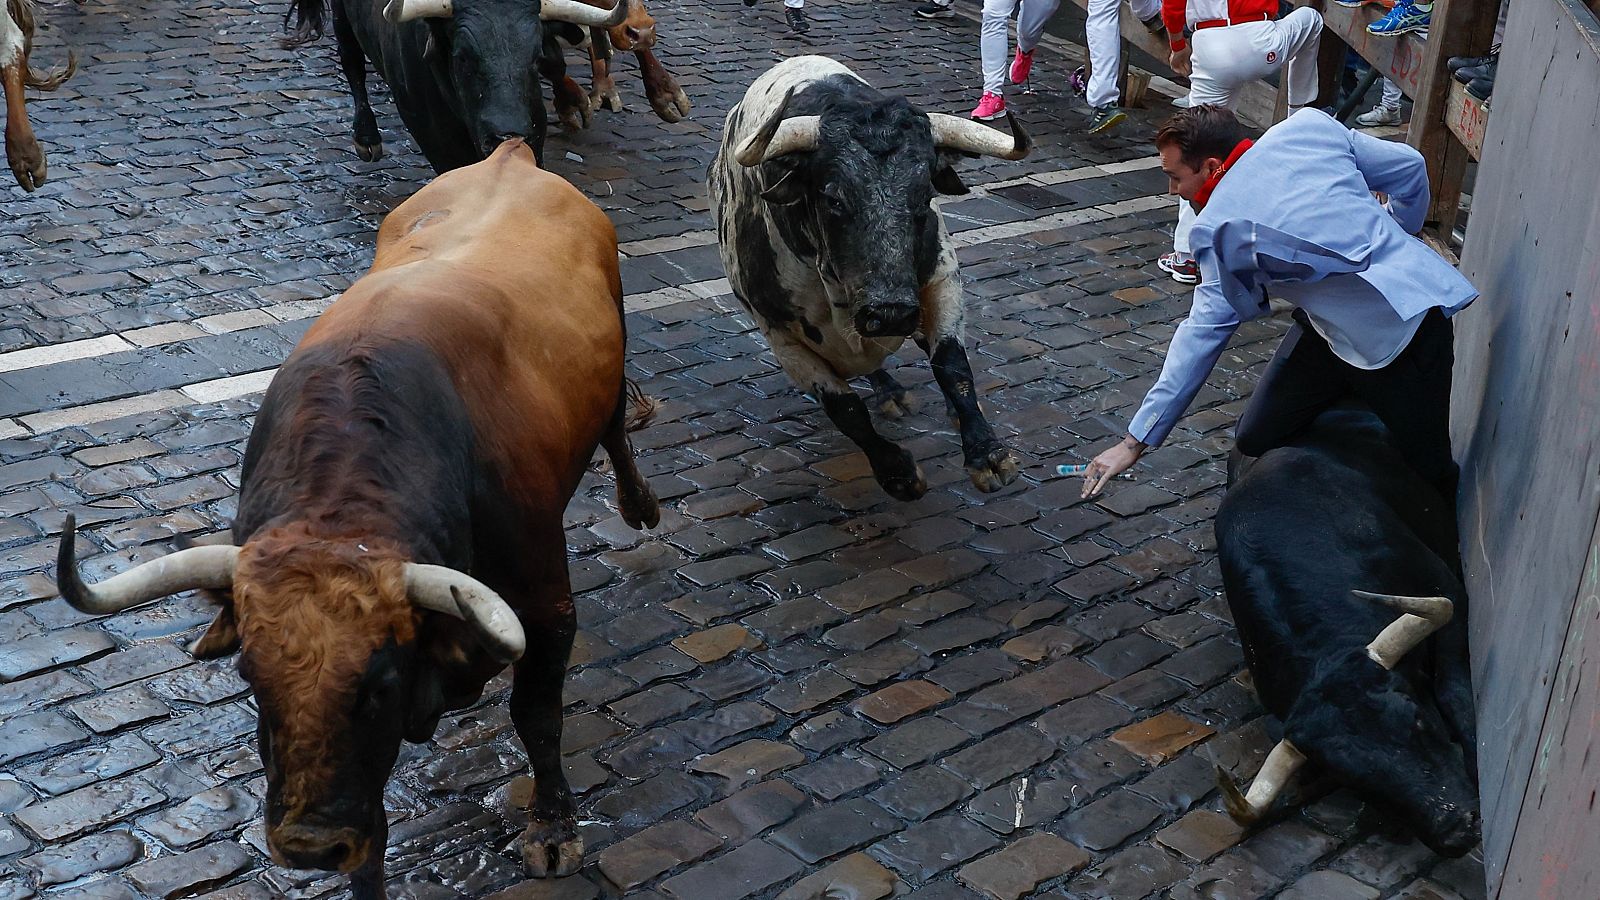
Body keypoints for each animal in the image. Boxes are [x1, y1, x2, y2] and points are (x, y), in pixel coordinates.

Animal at [54, 136, 656, 890]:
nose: (310, 844)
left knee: (618, 431)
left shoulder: (545, 603)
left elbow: (537, 718)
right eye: (251, 678)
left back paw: (640, 505)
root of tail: (510, 155)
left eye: (378, 685)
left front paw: (553, 828)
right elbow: (372, 835)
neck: (347, 499)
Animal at [283, 0, 624, 169]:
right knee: (351, 57)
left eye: (536, 55)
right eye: (462, 58)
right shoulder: (429, 128)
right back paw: (366, 137)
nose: (507, 134)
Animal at [707, 55, 1030, 499]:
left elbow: (953, 366)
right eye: (832, 197)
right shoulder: (781, 337)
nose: (890, 311)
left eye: (923, 194)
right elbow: (845, 409)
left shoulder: (941, 280)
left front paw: (988, 454)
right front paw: (898, 472)